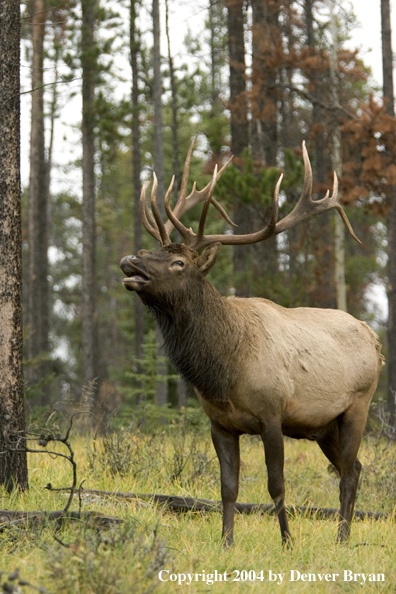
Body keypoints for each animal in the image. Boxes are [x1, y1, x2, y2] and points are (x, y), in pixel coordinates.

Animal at [119, 139, 382, 544]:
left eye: (179, 263)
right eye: (153, 251)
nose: (131, 261)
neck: (222, 372)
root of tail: (374, 337)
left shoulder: (272, 414)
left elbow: (277, 485)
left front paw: (287, 542)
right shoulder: (221, 424)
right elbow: (228, 487)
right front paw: (226, 542)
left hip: (358, 406)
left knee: (349, 472)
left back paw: (341, 538)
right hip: (325, 426)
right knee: (353, 468)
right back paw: (343, 536)